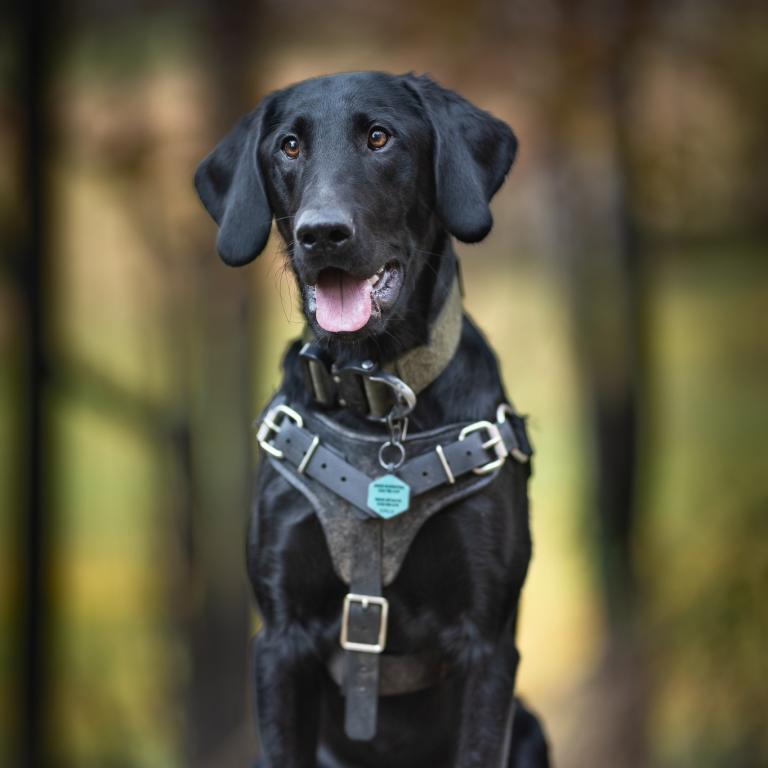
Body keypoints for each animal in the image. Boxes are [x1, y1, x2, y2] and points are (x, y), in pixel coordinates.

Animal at [195, 72, 548, 768]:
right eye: (289, 146)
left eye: (380, 138)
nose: (321, 233)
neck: (372, 395)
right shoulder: (281, 638)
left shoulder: (488, 644)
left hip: (531, 730)